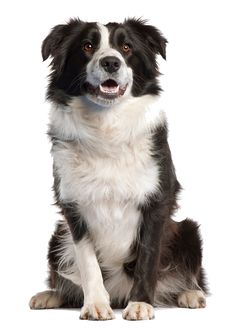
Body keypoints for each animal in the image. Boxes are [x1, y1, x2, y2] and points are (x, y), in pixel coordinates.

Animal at [29, 18, 206, 320]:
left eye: (126, 47)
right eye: (87, 46)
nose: (111, 62)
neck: (106, 124)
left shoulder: (158, 201)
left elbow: (148, 258)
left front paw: (140, 304)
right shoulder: (73, 205)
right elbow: (88, 262)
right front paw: (96, 304)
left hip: (188, 231)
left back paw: (190, 294)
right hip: (57, 236)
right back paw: (50, 295)